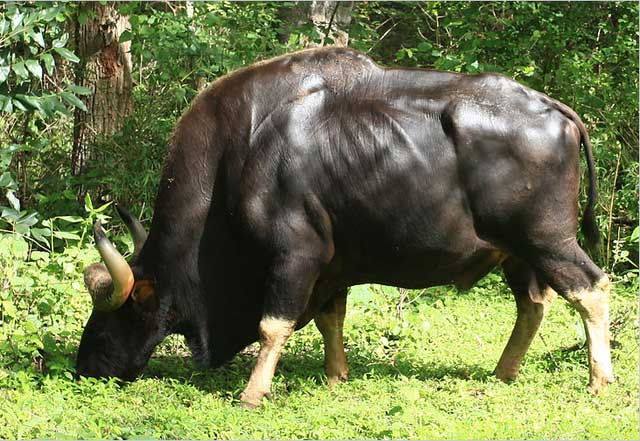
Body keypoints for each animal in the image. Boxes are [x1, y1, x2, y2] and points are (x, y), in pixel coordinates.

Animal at [77, 47, 613, 408]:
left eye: (112, 320)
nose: (85, 369)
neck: (237, 156)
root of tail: (556, 109)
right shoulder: (333, 263)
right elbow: (330, 317)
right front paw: (337, 375)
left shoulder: (296, 255)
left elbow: (273, 324)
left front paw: (254, 392)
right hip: (517, 253)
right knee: (534, 305)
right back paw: (502, 374)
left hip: (546, 239)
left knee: (591, 287)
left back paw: (599, 380)